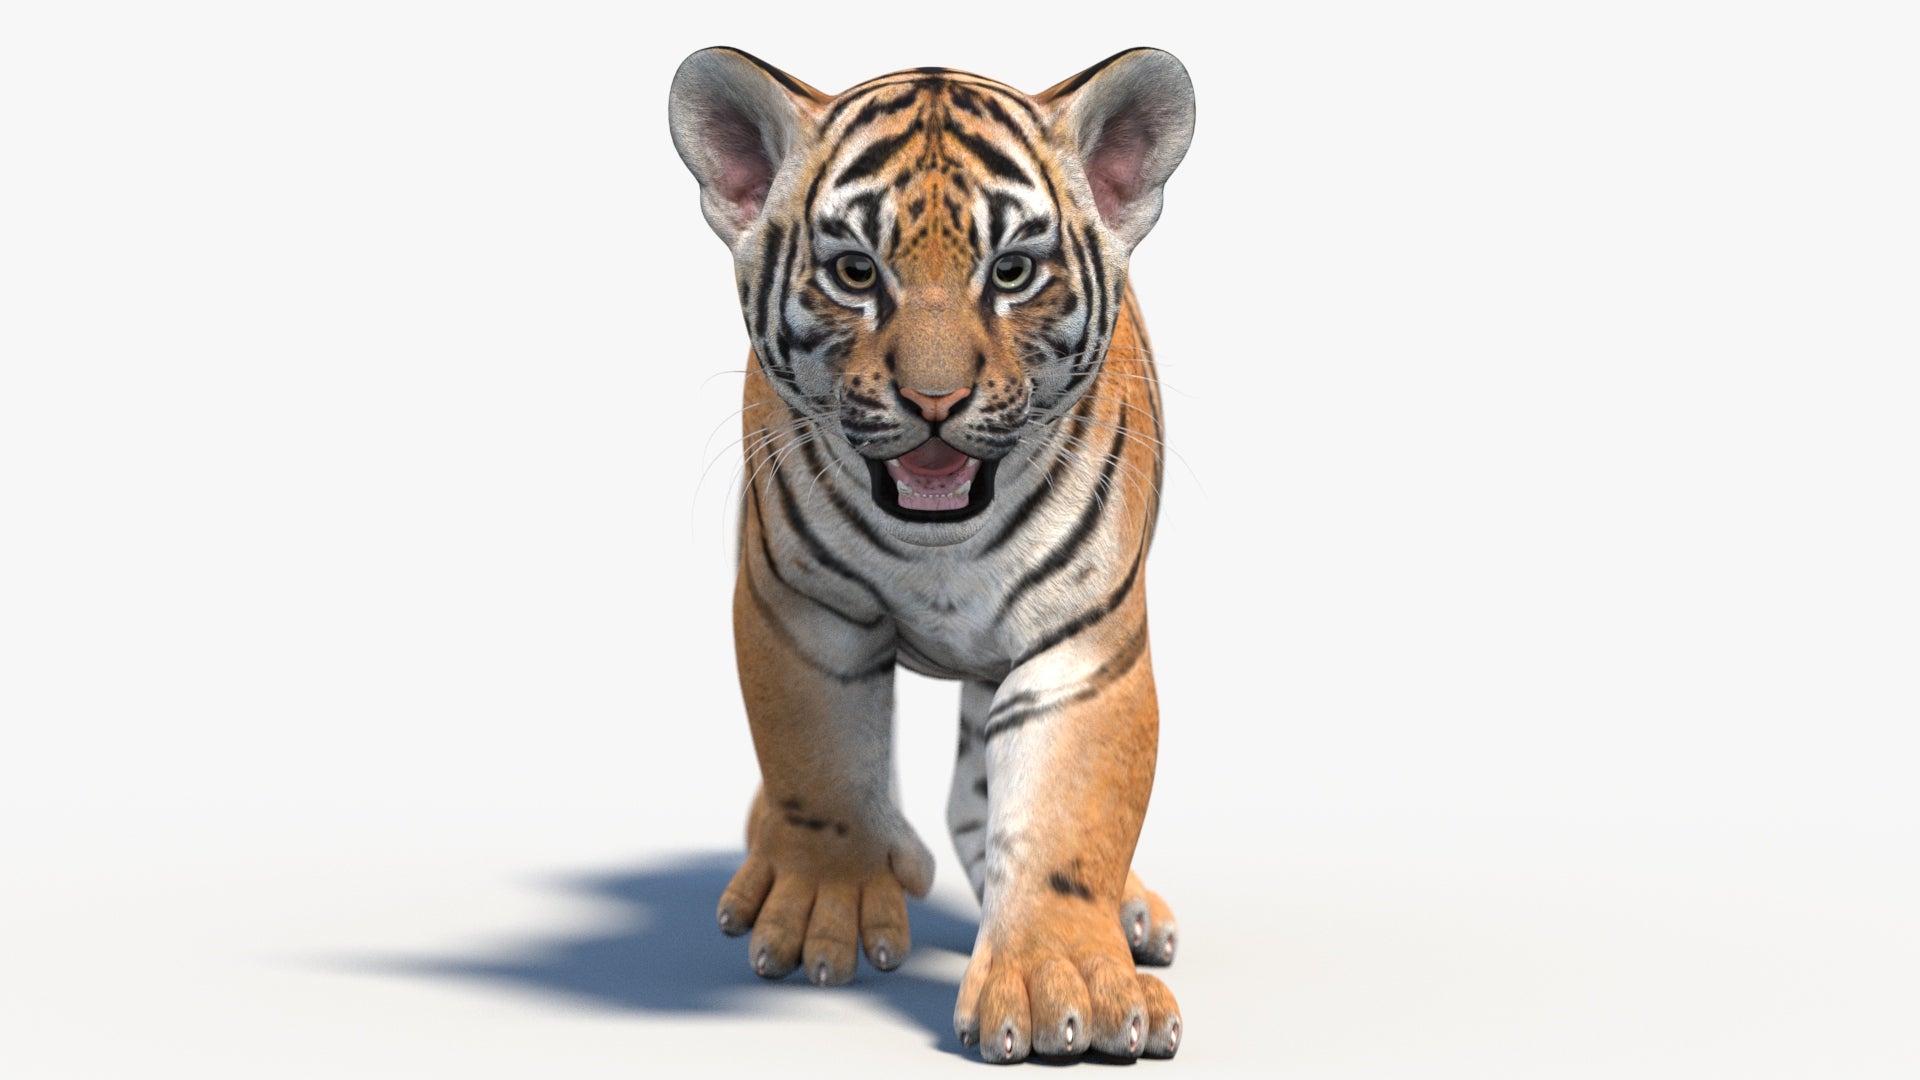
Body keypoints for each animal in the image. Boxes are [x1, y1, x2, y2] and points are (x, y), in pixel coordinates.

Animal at [668, 46, 1195, 1062]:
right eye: (854, 271)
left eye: (1014, 271)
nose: (935, 402)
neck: (940, 546)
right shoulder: (803, 614)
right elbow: (820, 762)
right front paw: (824, 907)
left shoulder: (1082, 646)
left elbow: (1068, 816)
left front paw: (1064, 988)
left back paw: (1131, 912)